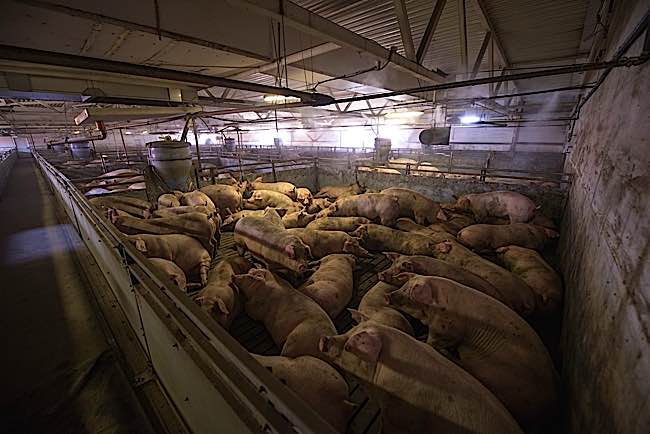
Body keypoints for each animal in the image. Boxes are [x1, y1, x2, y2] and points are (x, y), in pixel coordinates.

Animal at [384, 274, 556, 430]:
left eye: (407, 291)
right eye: (403, 285)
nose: (388, 296)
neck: (436, 309)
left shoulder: (444, 331)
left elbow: (432, 342)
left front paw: (422, 340)